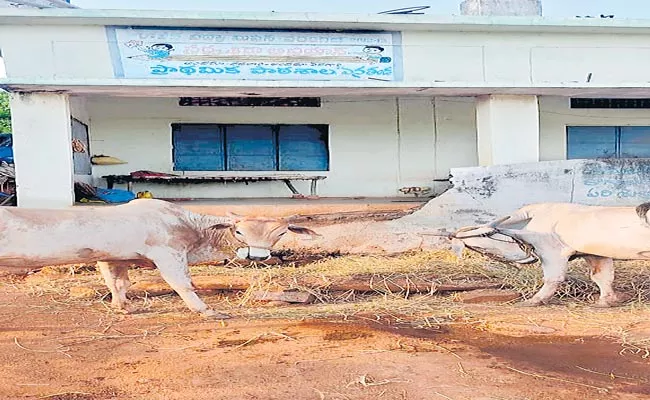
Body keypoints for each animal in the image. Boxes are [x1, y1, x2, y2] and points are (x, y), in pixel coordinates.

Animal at [0, 200, 316, 318]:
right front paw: (207, 311)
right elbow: (184, 284)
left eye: (281, 233)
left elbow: (118, 284)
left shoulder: (113, 257)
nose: (257, 255)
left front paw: (123, 307)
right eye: (238, 231)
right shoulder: (169, 254)